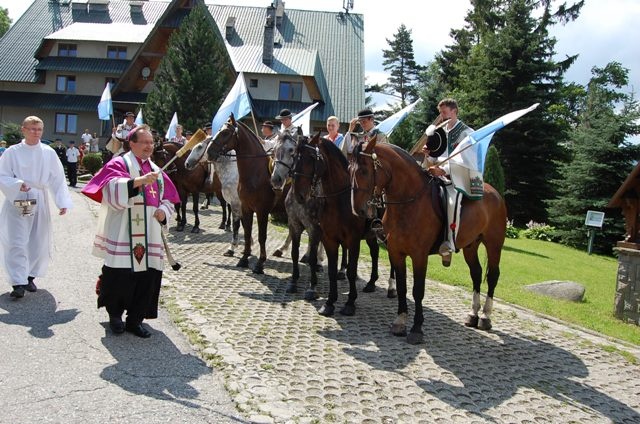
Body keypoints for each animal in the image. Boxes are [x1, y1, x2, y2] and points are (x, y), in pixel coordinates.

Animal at [206, 116, 282, 274]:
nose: (209, 152)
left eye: (225, 132)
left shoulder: (262, 211)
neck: (256, 174)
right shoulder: (246, 208)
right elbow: (247, 233)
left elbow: (261, 236)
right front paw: (244, 258)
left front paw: (260, 263)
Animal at [292, 134, 388, 316]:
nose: (299, 195)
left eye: (311, 158)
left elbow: (351, 271)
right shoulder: (330, 240)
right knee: (375, 252)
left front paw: (350, 303)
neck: (340, 200)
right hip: (371, 236)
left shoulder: (353, 240)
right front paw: (329, 303)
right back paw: (371, 283)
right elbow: (331, 271)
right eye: (294, 157)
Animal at [348, 137, 508, 342]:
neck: (409, 202)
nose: (357, 209)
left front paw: (417, 328)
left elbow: (418, 290)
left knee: (493, 276)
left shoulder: (419, 255)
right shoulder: (396, 252)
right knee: (477, 273)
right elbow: (402, 287)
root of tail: (494, 193)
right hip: (471, 246)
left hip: (494, 245)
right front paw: (400, 321)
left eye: (364, 170)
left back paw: (486, 317)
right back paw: (473, 315)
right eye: (349, 169)